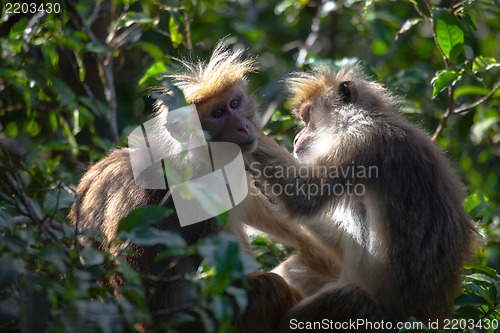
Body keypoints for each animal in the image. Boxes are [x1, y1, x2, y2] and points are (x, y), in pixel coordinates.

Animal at [232, 66, 478, 330]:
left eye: (307, 117)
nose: (297, 138)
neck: (363, 117)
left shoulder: (359, 139)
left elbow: (303, 197)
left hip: (370, 317)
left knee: (349, 297)